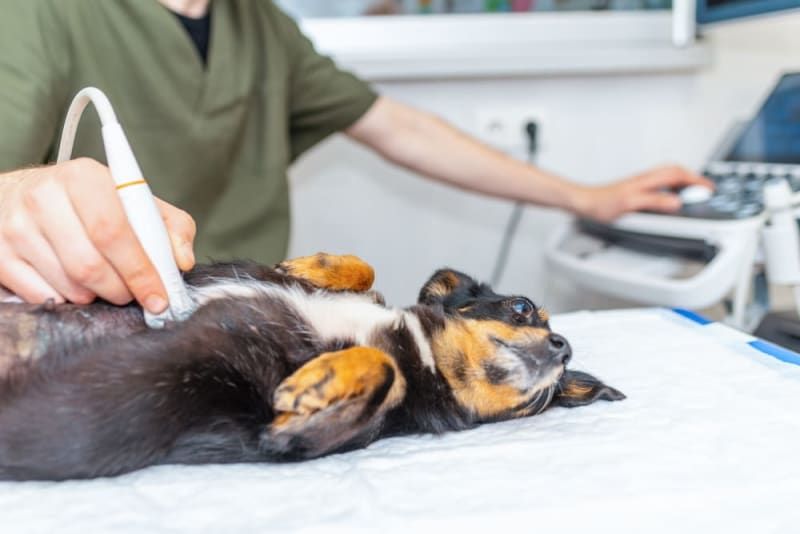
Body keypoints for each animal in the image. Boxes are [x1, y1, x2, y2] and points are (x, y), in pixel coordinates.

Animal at [0, 254, 624, 482]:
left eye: (539, 401)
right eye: (522, 308)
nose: (563, 346)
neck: (419, 351)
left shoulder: (282, 438)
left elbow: (381, 368)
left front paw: (316, 380)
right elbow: (361, 269)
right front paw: (308, 265)